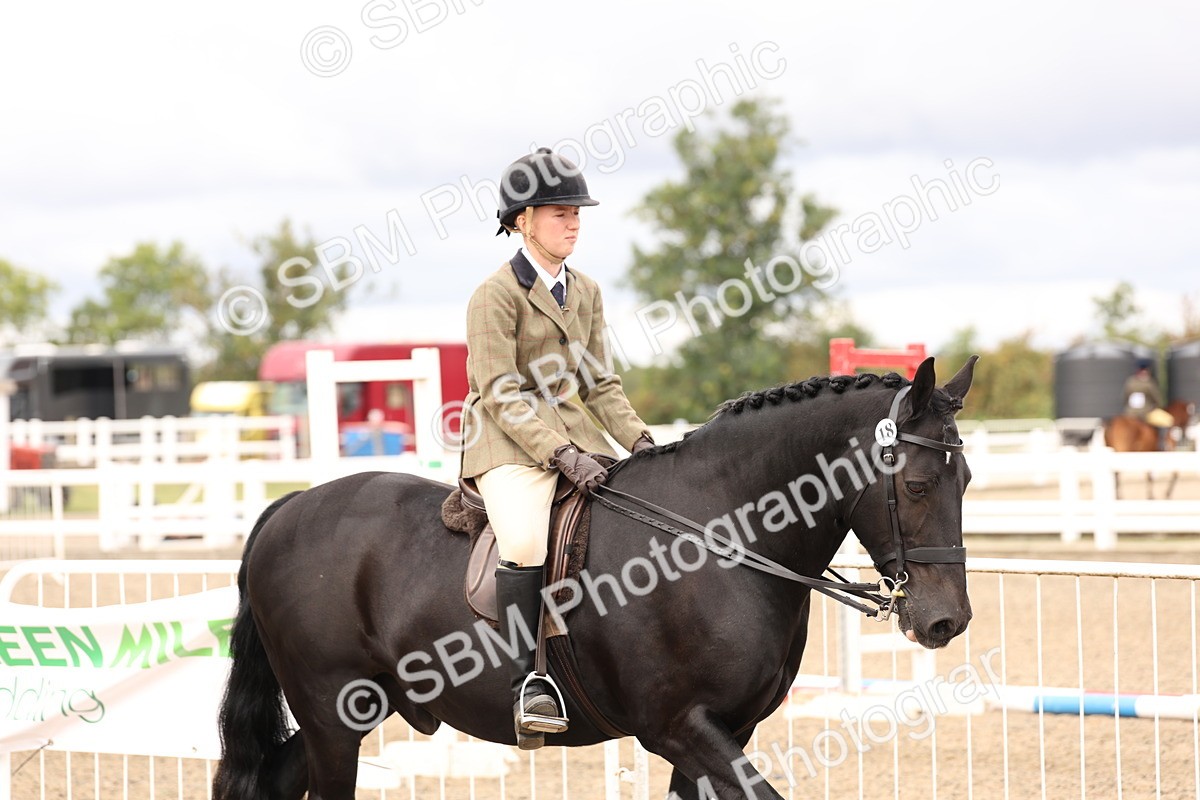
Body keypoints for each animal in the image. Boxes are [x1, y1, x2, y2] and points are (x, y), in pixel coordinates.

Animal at [212, 356, 977, 800]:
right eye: (915, 484)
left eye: (966, 478)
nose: (947, 621)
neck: (720, 536)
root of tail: (288, 508)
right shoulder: (680, 726)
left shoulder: (724, 731)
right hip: (332, 713)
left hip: (355, 711)